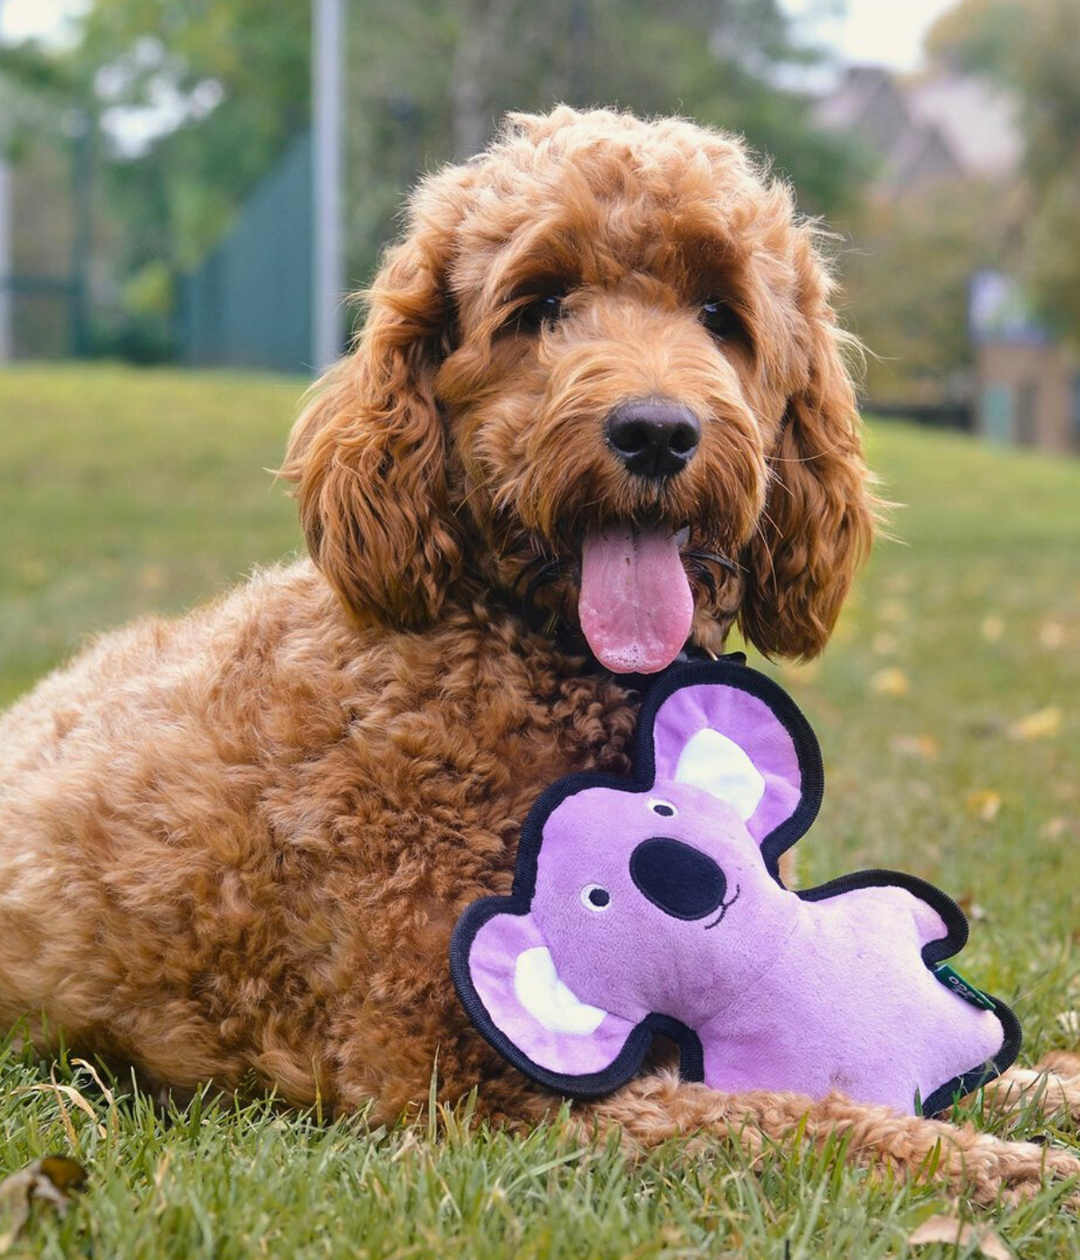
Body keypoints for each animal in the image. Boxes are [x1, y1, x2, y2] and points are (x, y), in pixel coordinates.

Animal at [0, 108, 1073, 1199]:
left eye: (719, 312)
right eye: (544, 304)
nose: (656, 432)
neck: (537, 663)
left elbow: (977, 1078)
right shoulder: (478, 1092)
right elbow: (802, 1122)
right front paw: (1012, 1170)